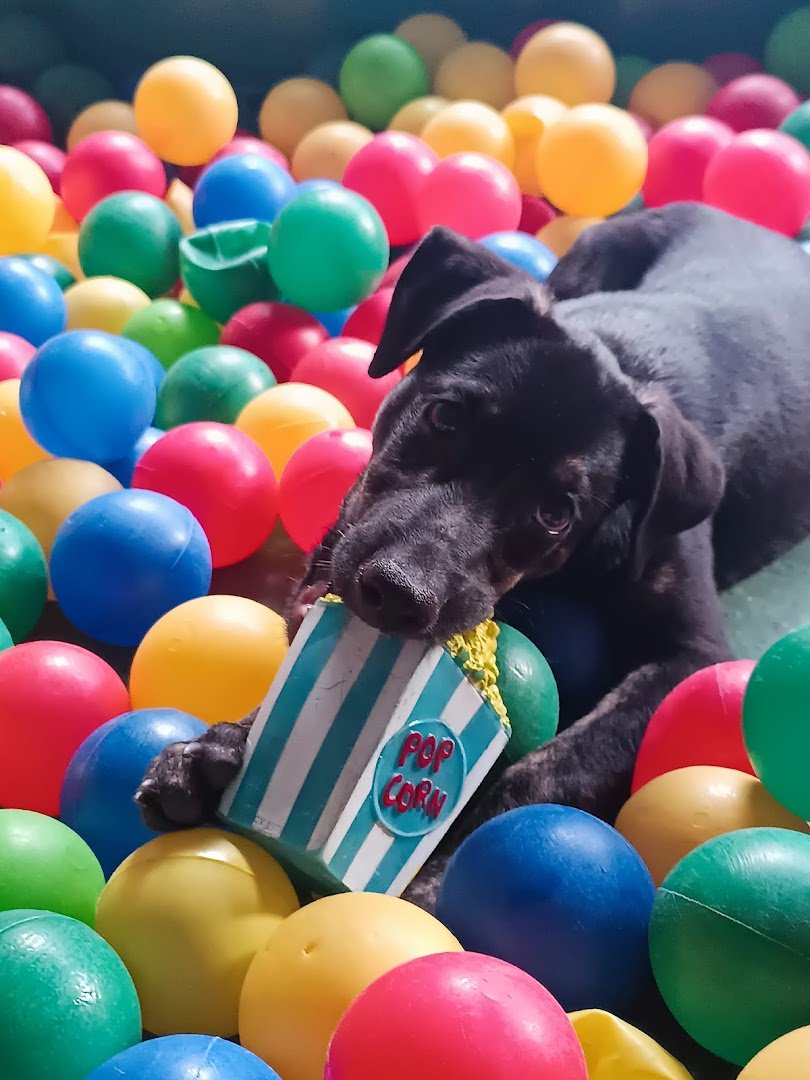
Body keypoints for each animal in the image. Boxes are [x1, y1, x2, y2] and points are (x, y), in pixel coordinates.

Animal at [136, 203, 810, 923]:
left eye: (557, 511)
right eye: (445, 416)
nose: (398, 592)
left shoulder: (692, 655)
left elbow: (554, 763)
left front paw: (446, 870)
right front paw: (224, 748)